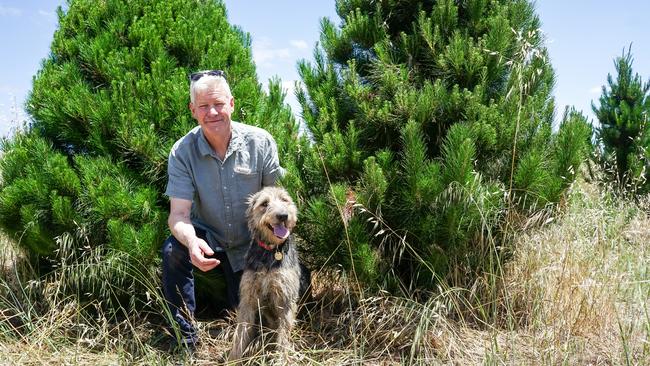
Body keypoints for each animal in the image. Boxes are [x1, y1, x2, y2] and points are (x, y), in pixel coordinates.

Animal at [229, 186, 302, 360]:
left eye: (284, 200)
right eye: (264, 203)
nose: (283, 215)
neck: (271, 251)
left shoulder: (285, 297)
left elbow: (283, 334)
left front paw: (282, 358)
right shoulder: (248, 297)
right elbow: (241, 331)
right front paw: (233, 358)